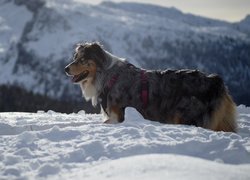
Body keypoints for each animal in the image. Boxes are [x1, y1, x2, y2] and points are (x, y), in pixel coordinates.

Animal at [64, 42, 236, 132]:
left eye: (82, 59)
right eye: (75, 58)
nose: (65, 68)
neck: (107, 75)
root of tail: (214, 80)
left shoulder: (117, 116)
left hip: (185, 113)